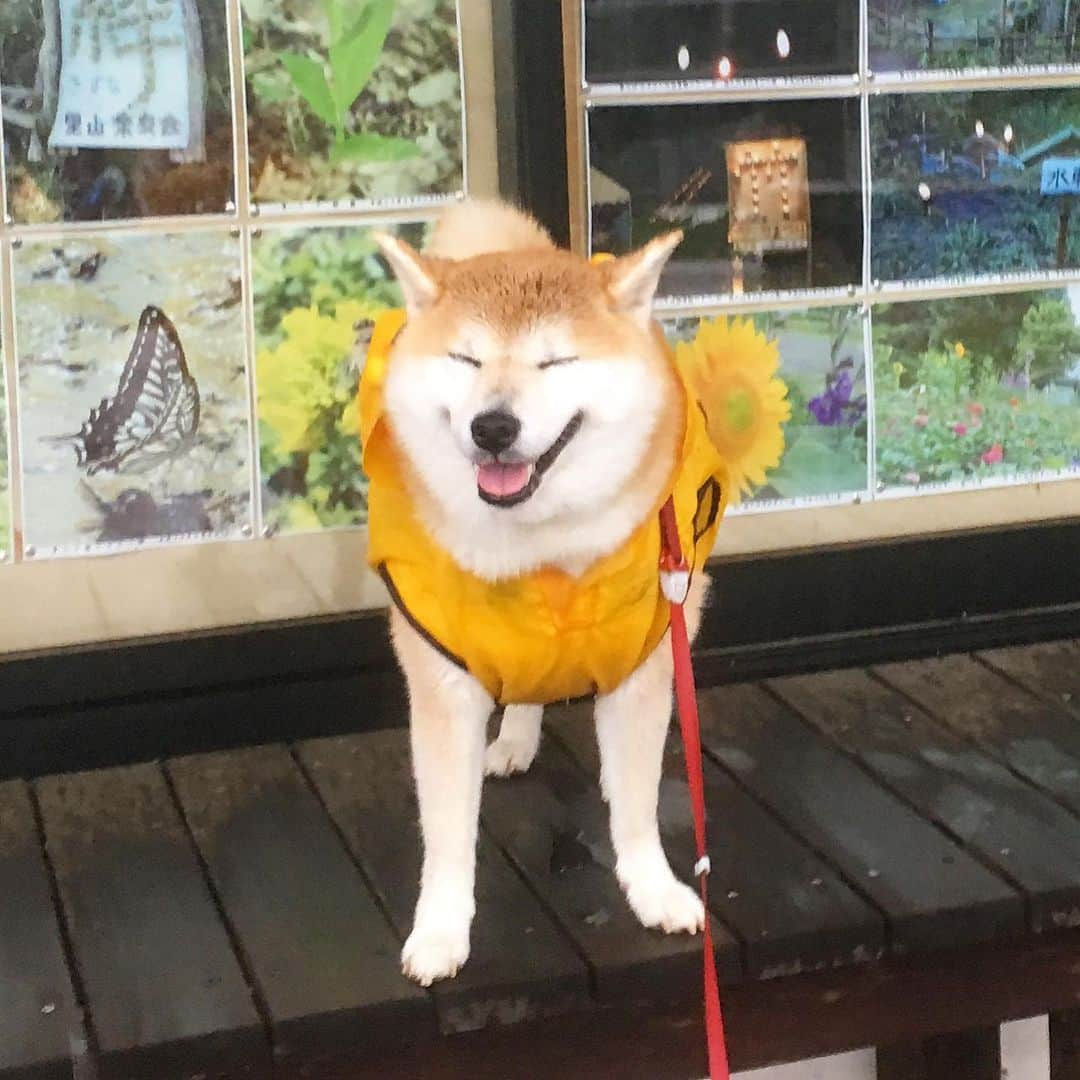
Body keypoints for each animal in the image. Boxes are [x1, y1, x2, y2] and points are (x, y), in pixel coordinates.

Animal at [360, 200, 725, 989]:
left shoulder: (645, 663)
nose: (493, 426)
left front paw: (654, 889)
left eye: (556, 362)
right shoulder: (443, 682)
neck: (543, 555)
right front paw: (440, 931)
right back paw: (516, 739)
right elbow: (446, 833)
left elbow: (638, 807)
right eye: (465, 359)